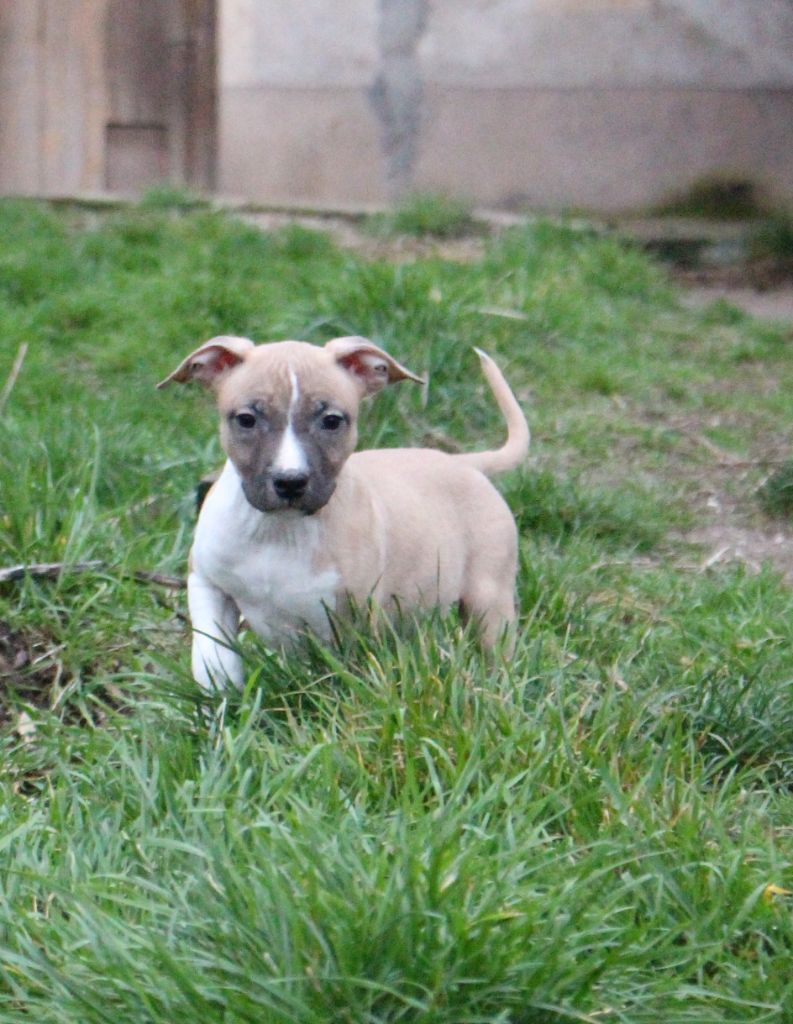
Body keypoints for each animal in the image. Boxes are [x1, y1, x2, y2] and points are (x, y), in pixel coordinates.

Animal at [158, 336, 529, 689]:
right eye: (246, 420)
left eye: (332, 421)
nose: (290, 482)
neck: (279, 530)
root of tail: (463, 462)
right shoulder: (207, 582)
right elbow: (213, 655)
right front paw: (219, 701)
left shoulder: (351, 618)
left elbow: (348, 677)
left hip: (488, 597)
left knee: (496, 653)